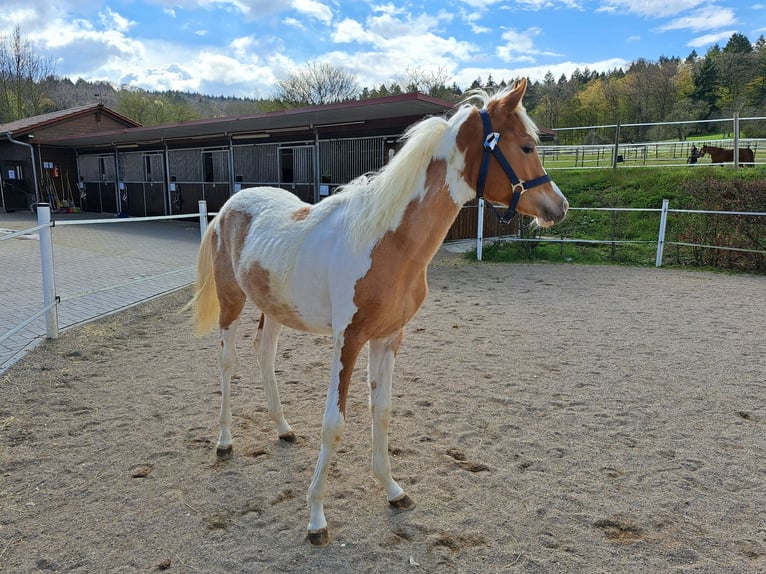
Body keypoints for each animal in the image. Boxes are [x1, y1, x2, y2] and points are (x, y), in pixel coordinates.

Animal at [188, 77, 568, 548]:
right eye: (527, 146)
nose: (559, 206)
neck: (387, 241)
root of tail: (228, 207)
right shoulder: (347, 340)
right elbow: (334, 423)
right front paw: (316, 518)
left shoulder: (389, 338)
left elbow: (382, 412)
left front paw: (393, 491)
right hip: (231, 303)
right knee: (227, 362)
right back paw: (224, 442)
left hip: (274, 307)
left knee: (264, 355)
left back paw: (283, 428)